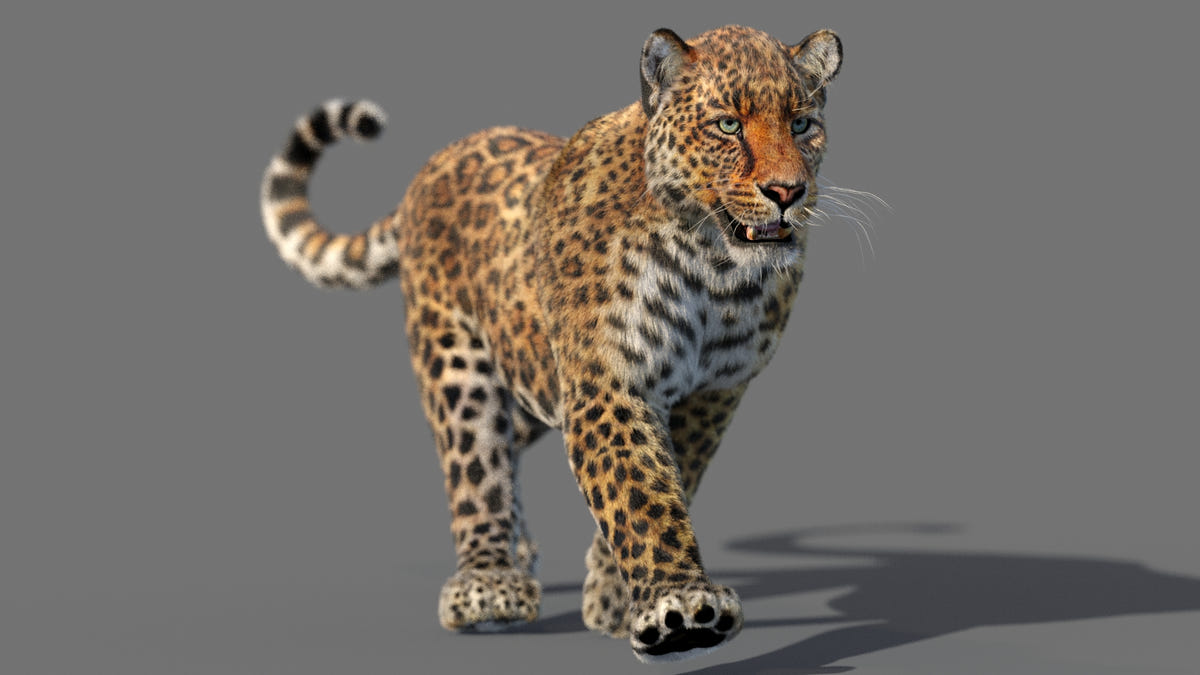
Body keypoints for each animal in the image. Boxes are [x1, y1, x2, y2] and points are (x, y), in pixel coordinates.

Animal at [258, 24, 843, 663]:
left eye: (802, 124)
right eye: (728, 125)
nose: (787, 191)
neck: (713, 267)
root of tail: (439, 159)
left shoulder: (714, 392)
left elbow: (671, 479)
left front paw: (614, 597)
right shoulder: (605, 381)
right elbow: (639, 489)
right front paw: (681, 607)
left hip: (531, 371)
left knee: (510, 444)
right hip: (458, 359)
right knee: (476, 463)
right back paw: (488, 582)